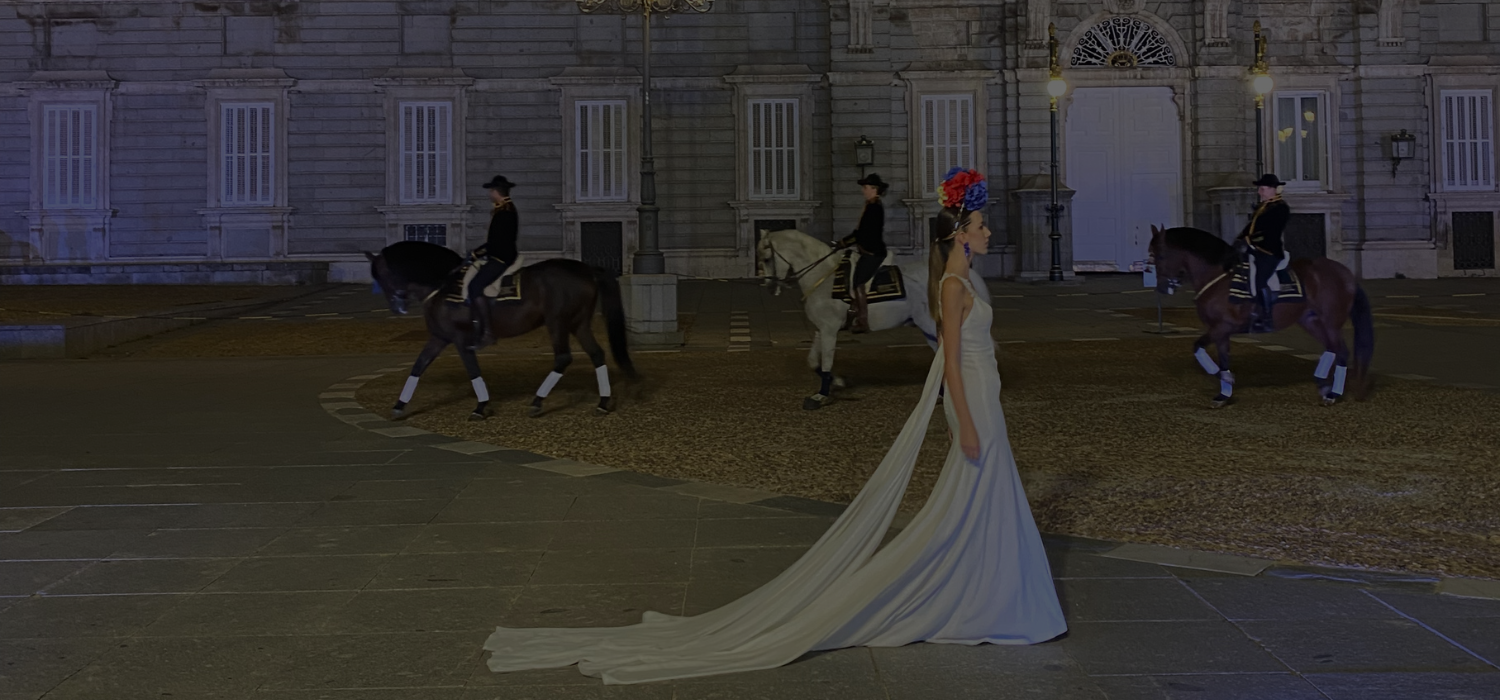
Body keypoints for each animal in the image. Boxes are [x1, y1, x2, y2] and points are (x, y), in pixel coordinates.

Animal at [370, 239, 639, 422]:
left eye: (380, 274)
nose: (397, 307)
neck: (444, 286)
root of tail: (587, 269)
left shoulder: (461, 339)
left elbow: (473, 370)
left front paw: (481, 407)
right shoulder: (439, 338)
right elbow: (418, 366)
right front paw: (399, 406)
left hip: (558, 323)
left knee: (563, 357)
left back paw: (537, 402)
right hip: (578, 323)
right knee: (596, 354)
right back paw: (603, 402)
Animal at [756, 227, 990, 410]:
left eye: (767, 258)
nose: (769, 286)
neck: (825, 277)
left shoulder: (830, 329)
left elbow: (826, 362)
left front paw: (821, 396)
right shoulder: (820, 329)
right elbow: (814, 361)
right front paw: (839, 381)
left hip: (932, 325)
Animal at [1146, 224, 1374, 410]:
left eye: (1161, 255)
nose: (1162, 288)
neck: (1218, 278)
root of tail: (1344, 273)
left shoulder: (1223, 326)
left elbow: (1198, 347)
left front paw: (1227, 378)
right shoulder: (1221, 331)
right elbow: (1223, 358)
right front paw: (1223, 394)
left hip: (1330, 322)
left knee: (1341, 350)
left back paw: (1333, 394)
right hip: (1311, 321)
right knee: (1333, 348)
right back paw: (1323, 385)